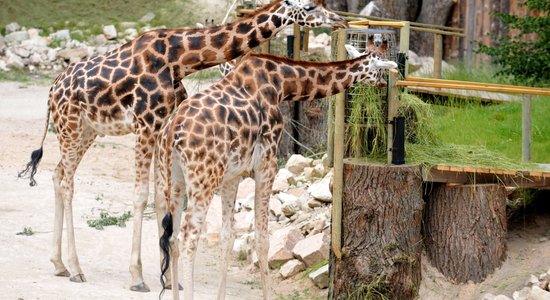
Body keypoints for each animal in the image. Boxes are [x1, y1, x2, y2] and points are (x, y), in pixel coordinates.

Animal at [18, 0, 350, 292]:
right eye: (310, 7)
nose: (340, 20)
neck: (179, 59)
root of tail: (52, 89)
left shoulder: (161, 128)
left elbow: (161, 198)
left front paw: (168, 279)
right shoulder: (145, 124)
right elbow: (141, 195)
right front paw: (138, 277)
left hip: (87, 130)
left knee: (57, 174)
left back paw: (60, 264)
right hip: (71, 127)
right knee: (66, 180)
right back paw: (76, 268)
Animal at [157, 45, 398, 300]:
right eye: (380, 66)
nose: (386, 81)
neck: (282, 84)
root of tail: (172, 131)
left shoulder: (233, 174)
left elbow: (227, 236)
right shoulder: (267, 164)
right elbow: (263, 240)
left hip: (174, 178)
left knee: (173, 238)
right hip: (203, 178)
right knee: (188, 238)